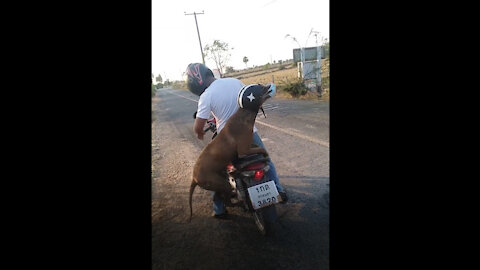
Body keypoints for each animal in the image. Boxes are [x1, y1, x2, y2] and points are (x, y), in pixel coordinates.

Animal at [190, 84, 276, 221]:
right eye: (260, 88)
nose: (268, 85)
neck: (244, 113)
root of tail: (194, 177)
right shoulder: (243, 150)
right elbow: (261, 149)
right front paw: (265, 153)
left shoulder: (249, 145)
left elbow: (257, 146)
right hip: (220, 183)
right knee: (225, 199)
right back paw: (236, 204)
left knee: (223, 197)